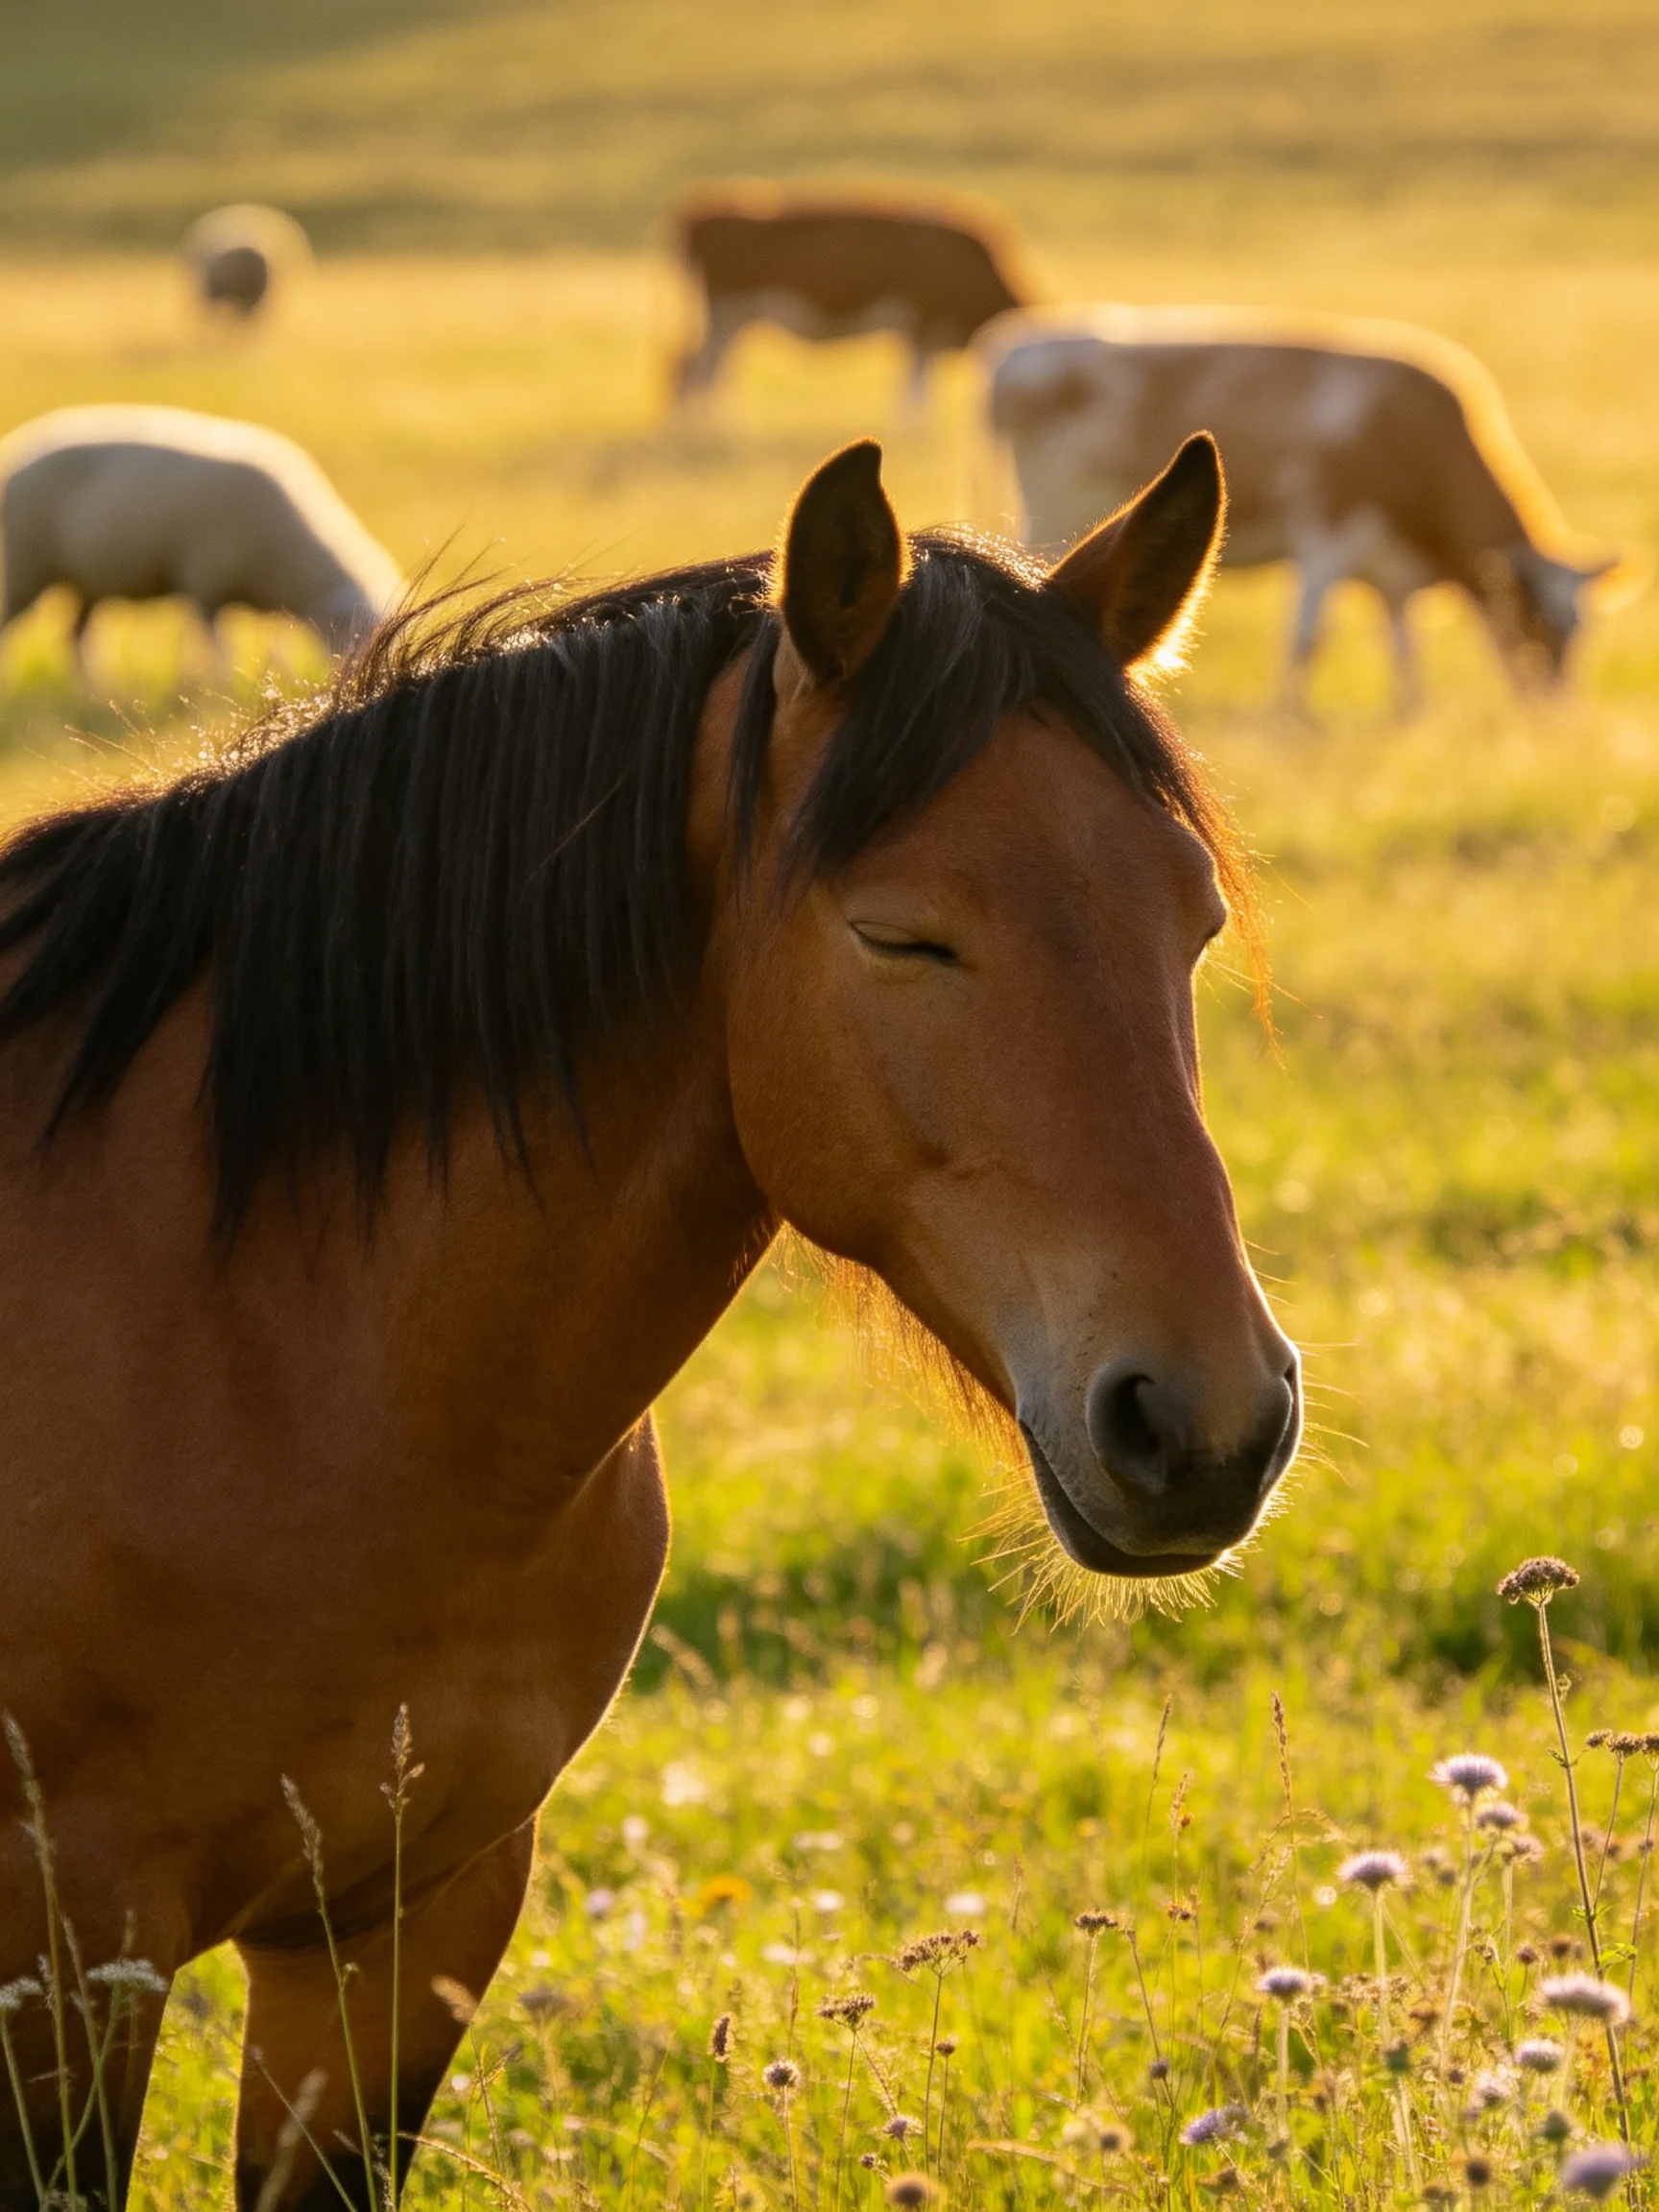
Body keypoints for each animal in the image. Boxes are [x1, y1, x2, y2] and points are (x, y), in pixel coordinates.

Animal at [0, 433, 1300, 2208]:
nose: (1206, 1425)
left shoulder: (402, 1926)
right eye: (902, 934)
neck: (261, 1362)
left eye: (1193, 920)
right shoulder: (67, 1954)